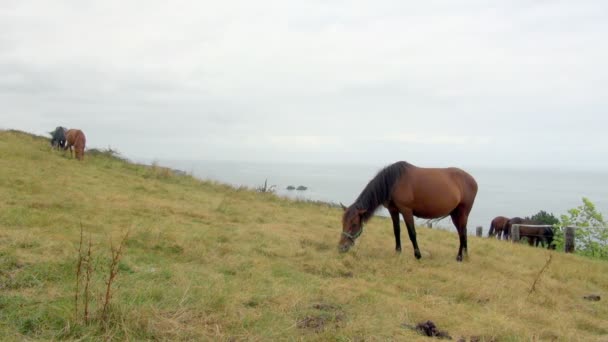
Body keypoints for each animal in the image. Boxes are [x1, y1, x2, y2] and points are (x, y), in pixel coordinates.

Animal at [340, 160, 478, 262]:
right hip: (455, 214)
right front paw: (397, 252)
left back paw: (459, 257)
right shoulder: (393, 210)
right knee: (463, 232)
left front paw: (418, 255)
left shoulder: (406, 210)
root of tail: (473, 180)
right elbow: (396, 231)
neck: (394, 182)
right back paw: (465, 255)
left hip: (463, 213)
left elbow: (412, 233)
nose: (341, 247)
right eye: (343, 223)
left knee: (462, 233)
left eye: (354, 224)